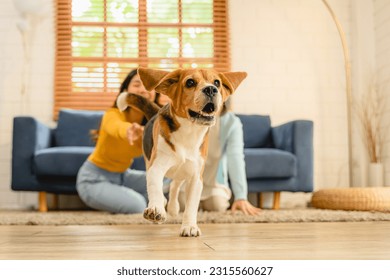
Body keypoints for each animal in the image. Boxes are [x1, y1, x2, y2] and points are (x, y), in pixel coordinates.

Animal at [117, 68, 247, 236]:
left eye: (217, 82)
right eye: (190, 82)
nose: (211, 89)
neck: (189, 132)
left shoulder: (196, 177)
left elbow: (191, 206)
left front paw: (189, 226)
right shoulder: (156, 167)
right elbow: (155, 188)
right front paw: (156, 208)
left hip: (183, 169)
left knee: (175, 184)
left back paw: (173, 208)